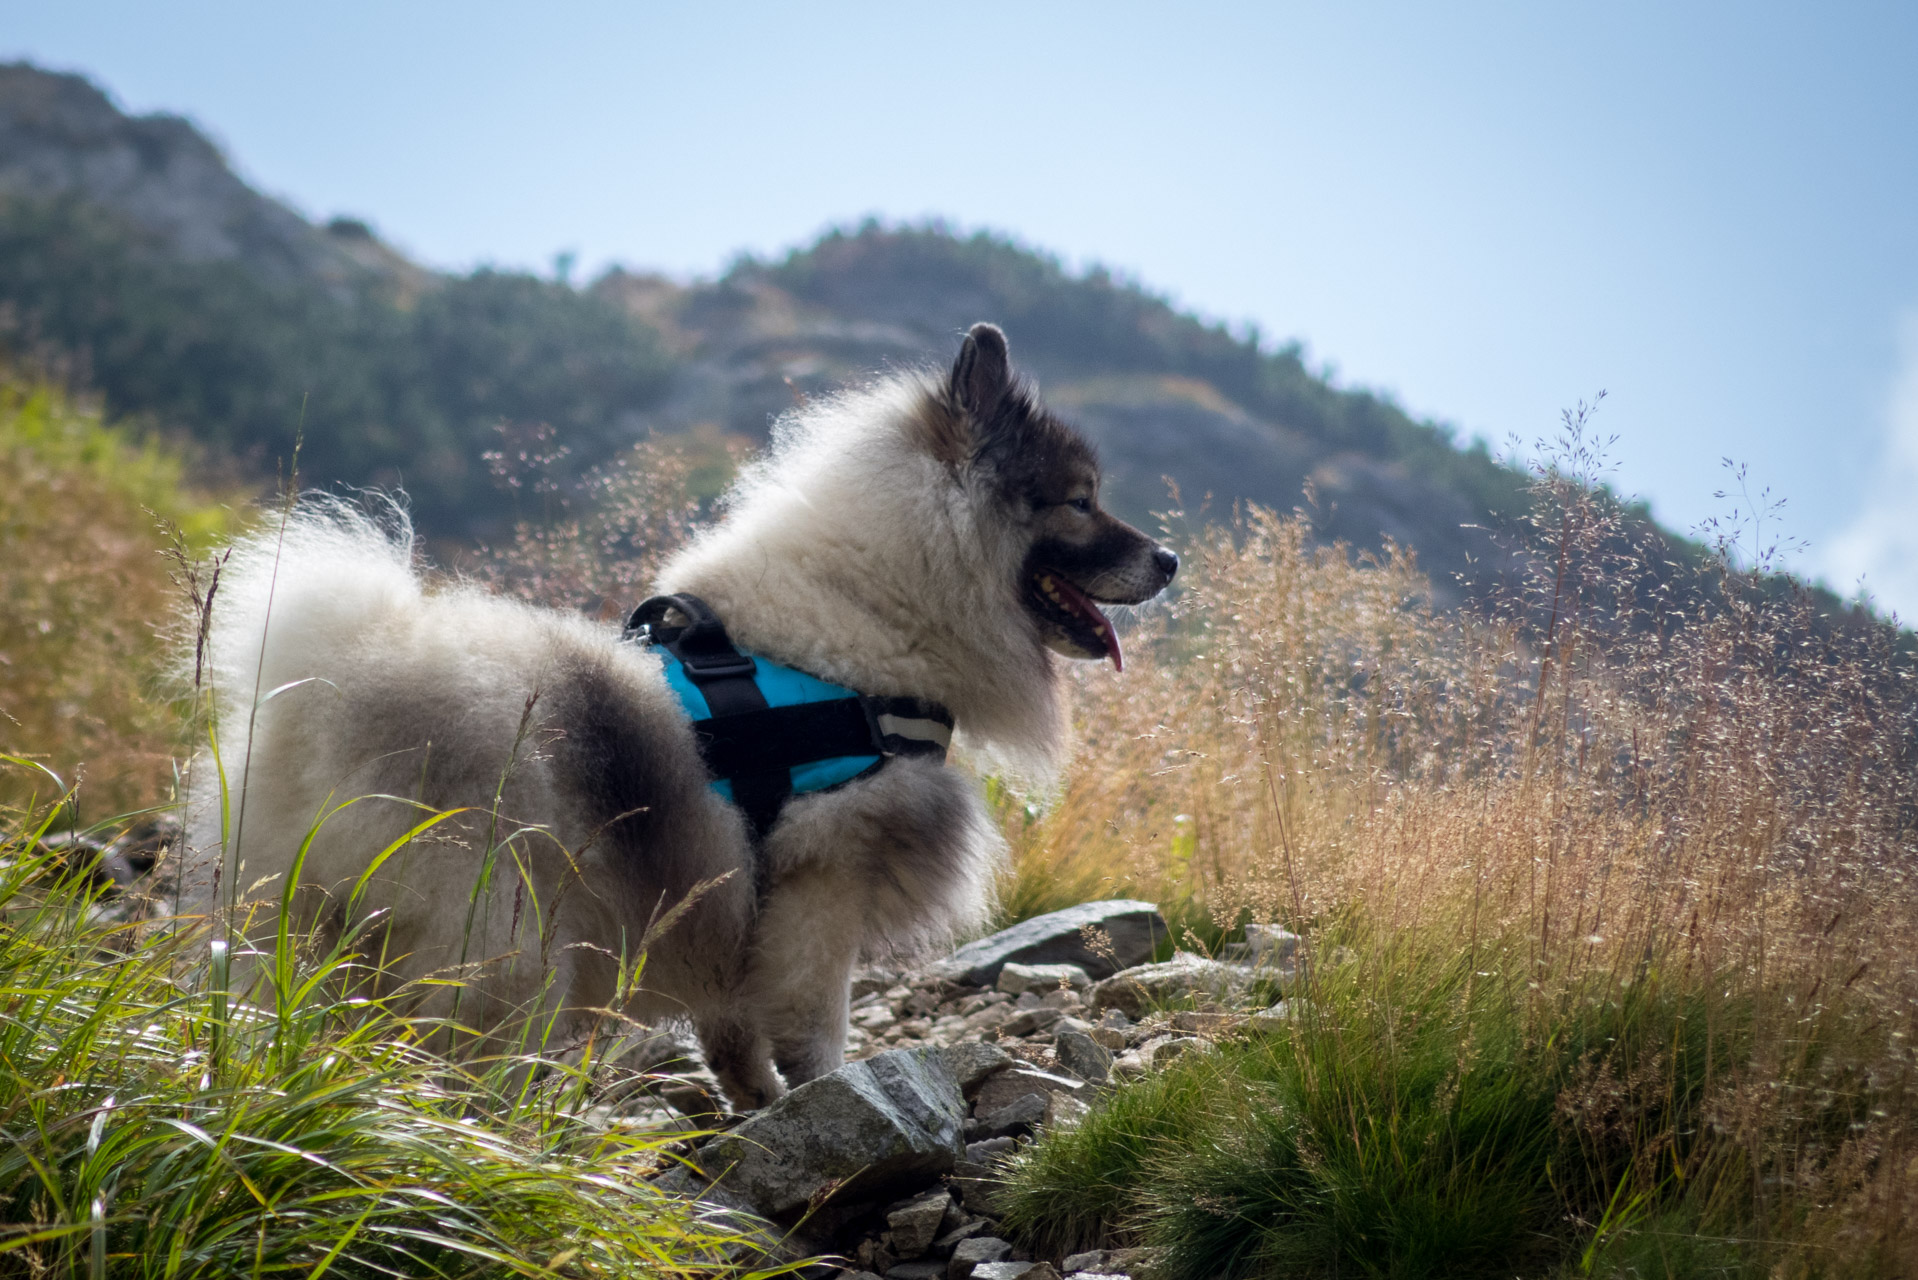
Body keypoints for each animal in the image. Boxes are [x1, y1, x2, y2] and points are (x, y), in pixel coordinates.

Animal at [183, 322, 1166, 1113]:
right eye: (1080, 500)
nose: (1171, 560)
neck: (866, 621)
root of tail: (335, 683)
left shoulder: (744, 902)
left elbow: (734, 1023)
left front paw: (755, 1101)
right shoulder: (825, 874)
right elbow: (814, 1021)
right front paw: (832, 1093)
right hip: (504, 939)